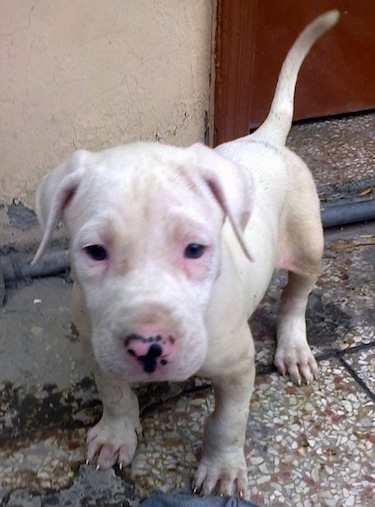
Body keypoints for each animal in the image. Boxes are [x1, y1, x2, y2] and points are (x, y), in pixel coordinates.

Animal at [33, 11, 340, 500]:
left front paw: (222, 470)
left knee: (297, 295)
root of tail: (265, 139)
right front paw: (116, 435)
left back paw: (293, 347)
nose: (148, 345)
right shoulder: (98, 346)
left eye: (195, 249)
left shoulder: (237, 366)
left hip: (309, 241)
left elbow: (228, 421)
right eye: (95, 251)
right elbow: (115, 393)